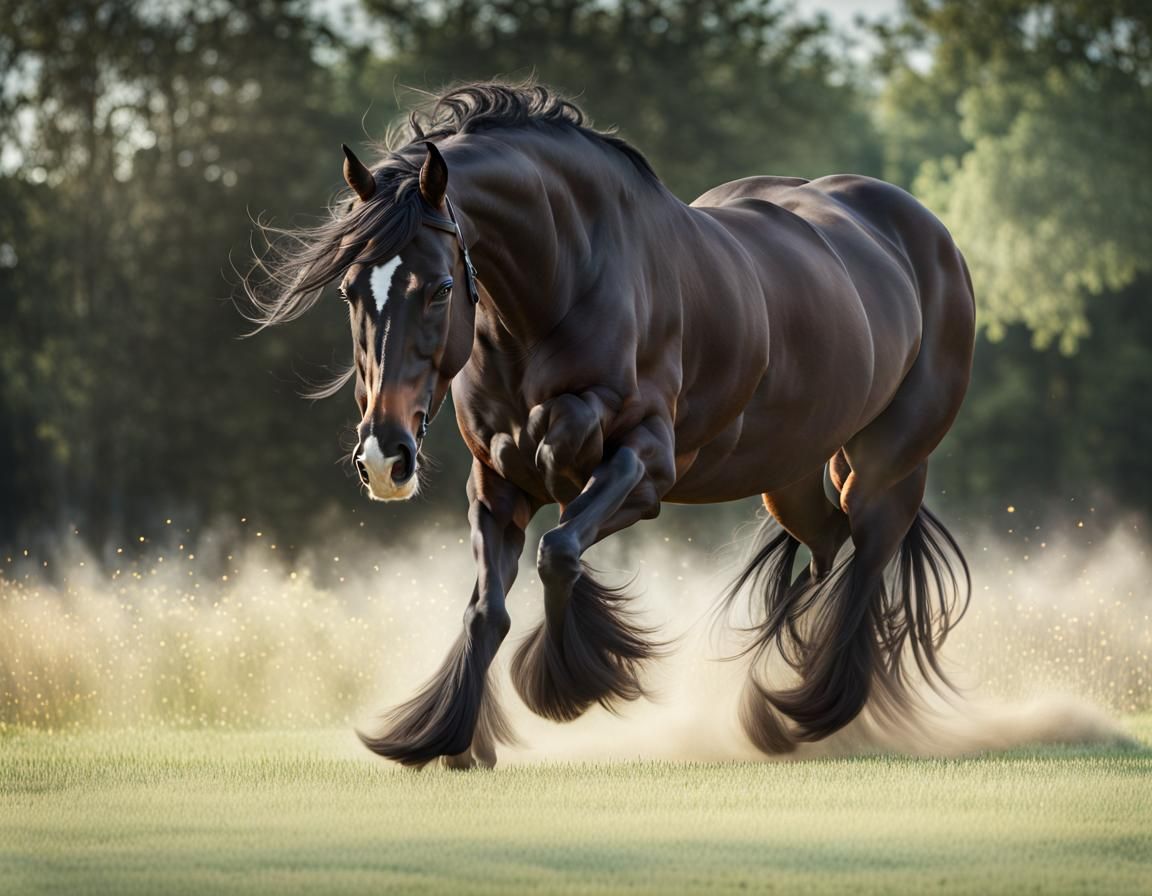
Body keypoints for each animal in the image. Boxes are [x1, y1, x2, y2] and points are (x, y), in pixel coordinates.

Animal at [249, 83, 975, 768]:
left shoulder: (644, 469)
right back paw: (778, 706)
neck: (560, 294)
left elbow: (559, 551)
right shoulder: (498, 487)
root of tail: (923, 233)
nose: (384, 458)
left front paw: (563, 687)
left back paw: (814, 714)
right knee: (827, 551)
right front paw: (450, 740)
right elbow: (488, 607)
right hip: (789, 478)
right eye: (349, 290)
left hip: (886, 471)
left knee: (864, 565)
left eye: (439, 288)